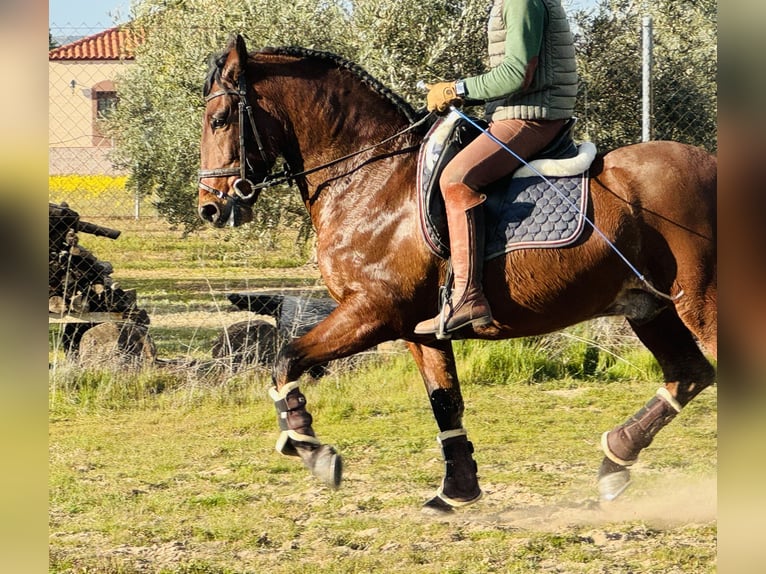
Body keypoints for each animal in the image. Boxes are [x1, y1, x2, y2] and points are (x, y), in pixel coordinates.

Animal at [200, 35, 720, 512]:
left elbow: (286, 358)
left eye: (220, 119)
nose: (211, 207)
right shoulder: (419, 330)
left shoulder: (372, 312)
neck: (370, 179)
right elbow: (445, 402)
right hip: (650, 305)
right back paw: (614, 461)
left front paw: (311, 449)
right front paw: (457, 489)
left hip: (701, 301)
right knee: (689, 375)